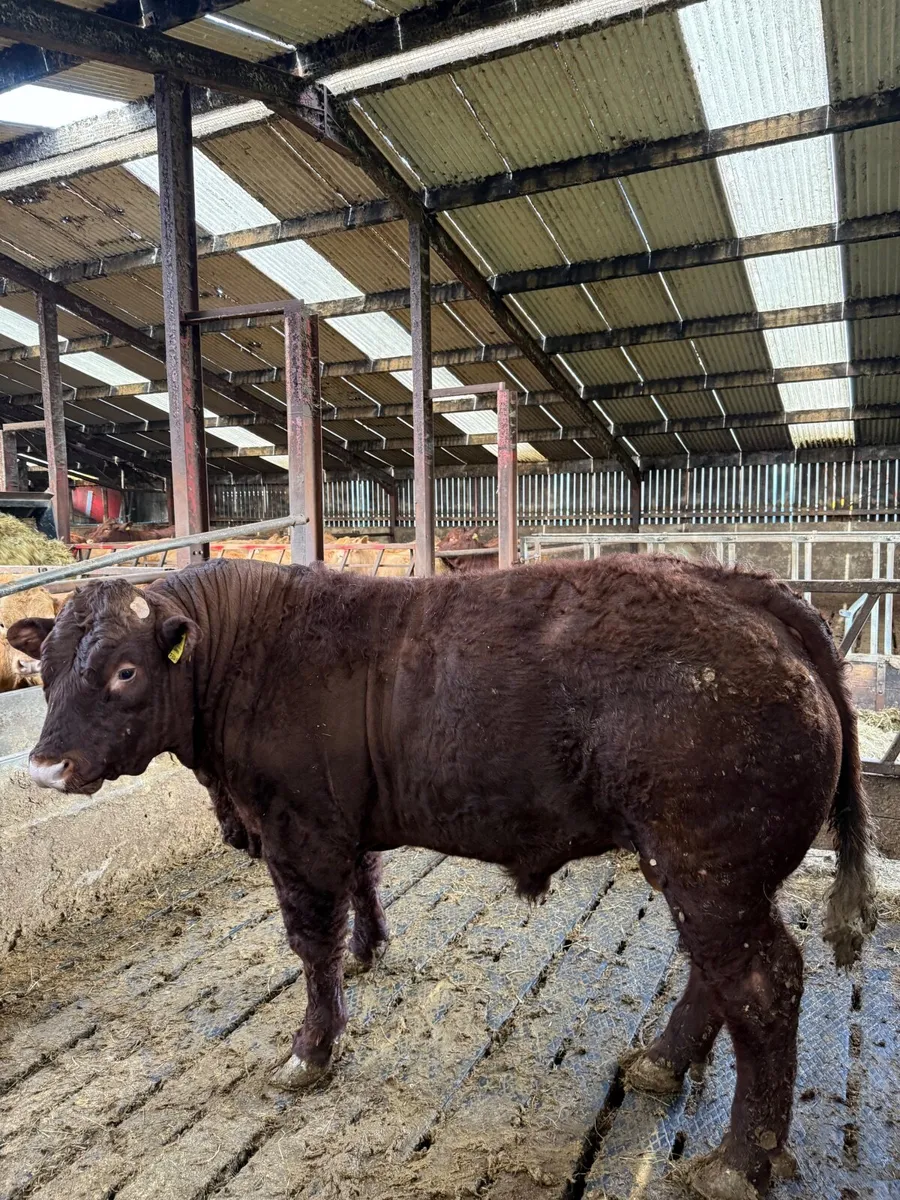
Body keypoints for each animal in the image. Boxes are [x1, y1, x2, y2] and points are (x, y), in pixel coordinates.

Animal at [8, 554, 876, 1200]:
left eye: (124, 671)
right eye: (43, 667)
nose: (45, 767)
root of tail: (745, 590)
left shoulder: (298, 829)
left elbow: (310, 945)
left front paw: (310, 1051)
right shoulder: (345, 822)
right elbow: (364, 882)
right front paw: (370, 950)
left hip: (711, 866)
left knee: (763, 984)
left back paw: (738, 1163)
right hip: (706, 872)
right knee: (716, 974)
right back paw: (661, 1063)